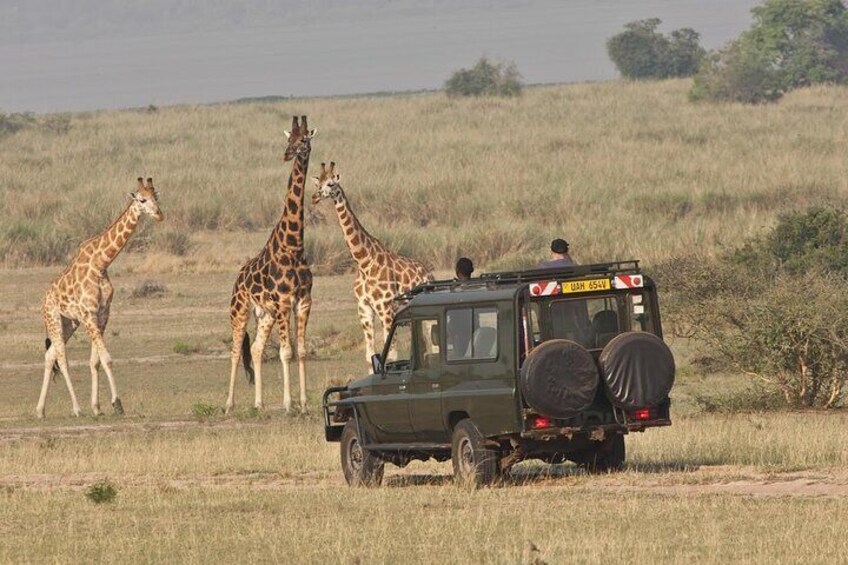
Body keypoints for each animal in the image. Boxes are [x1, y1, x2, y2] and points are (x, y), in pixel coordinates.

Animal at [36, 177, 164, 418]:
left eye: (156, 196)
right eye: (142, 200)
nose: (160, 214)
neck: (101, 263)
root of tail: (44, 298)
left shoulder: (102, 313)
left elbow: (95, 361)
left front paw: (97, 407)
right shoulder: (88, 314)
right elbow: (107, 359)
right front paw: (117, 403)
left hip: (69, 322)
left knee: (50, 355)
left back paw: (40, 410)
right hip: (54, 318)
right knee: (62, 359)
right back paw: (76, 408)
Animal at [225, 116, 315, 414]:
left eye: (304, 139)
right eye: (289, 139)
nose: (287, 154)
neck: (294, 246)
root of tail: (238, 279)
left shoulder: (304, 301)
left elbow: (301, 350)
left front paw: (303, 403)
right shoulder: (284, 302)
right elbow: (286, 352)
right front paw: (288, 404)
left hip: (264, 314)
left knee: (255, 349)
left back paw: (259, 403)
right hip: (240, 311)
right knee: (235, 350)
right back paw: (229, 404)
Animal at [311, 162, 434, 364]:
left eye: (331, 184)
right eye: (317, 183)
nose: (314, 197)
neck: (364, 262)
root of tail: (429, 274)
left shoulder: (386, 309)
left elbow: (391, 354)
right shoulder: (364, 309)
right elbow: (369, 355)